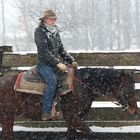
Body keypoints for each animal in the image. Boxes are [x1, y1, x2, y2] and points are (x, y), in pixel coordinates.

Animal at [0, 67, 138, 139]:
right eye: (127, 88)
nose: (134, 110)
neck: (82, 86)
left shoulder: (75, 119)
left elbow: (72, 134)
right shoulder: (71, 117)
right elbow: (90, 133)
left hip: (8, 116)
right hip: (6, 115)